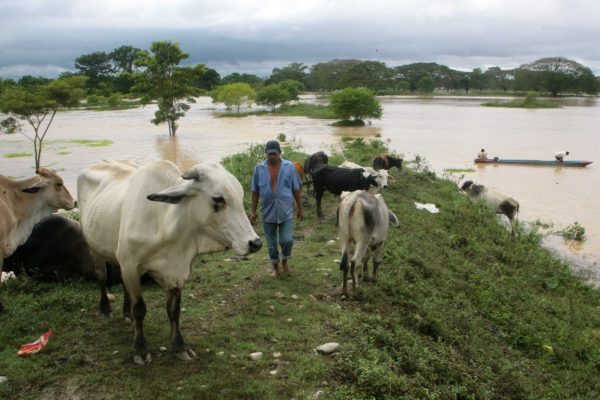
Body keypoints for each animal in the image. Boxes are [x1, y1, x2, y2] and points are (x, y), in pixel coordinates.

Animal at [77, 159, 260, 362]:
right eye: (218, 199)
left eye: (240, 195)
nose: (255, 243)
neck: (164, 221)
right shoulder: (131, 266)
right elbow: (139, 309)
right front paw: (141, 350)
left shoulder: (176, 271)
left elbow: (174, 310)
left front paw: (179, 346)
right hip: (94, 248)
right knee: (101, 277)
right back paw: (105, 309)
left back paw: (126, 314)